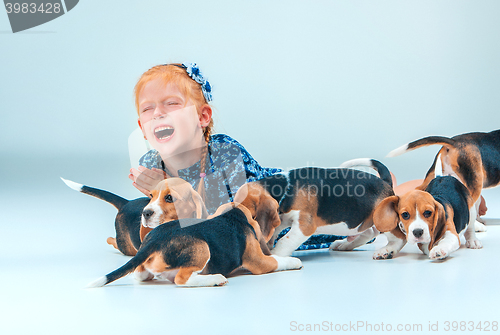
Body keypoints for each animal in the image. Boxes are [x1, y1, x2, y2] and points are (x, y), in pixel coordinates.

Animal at [62, 177, 207, 256]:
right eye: (151, 196)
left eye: (170, 197)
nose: (145, 213)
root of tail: (127, 202)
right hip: (125, 246)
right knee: (113, 241)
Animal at [256, 159, 396, 258]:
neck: (286, 187)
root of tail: (385, 182)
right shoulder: (282, 219)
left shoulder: (305, 225)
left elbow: (284, 240)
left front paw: (274, 255)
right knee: (369, 232)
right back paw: (345, 244)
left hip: (383, 219)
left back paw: (387, 251)